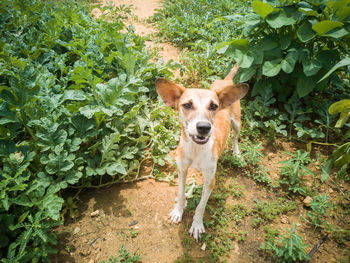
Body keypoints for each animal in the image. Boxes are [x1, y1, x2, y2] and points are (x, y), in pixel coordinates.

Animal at [156, 65, 249, 240]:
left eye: (213, 106)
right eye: (187, 105)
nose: (204, 127)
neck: (196, 149)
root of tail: (226, 81)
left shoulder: (210, 181)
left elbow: (201, 205)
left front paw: (197, 225)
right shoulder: (182, 171)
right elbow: (181, 194)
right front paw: (178, 211)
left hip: (237, 123)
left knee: (235, 137)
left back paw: (236, 152)